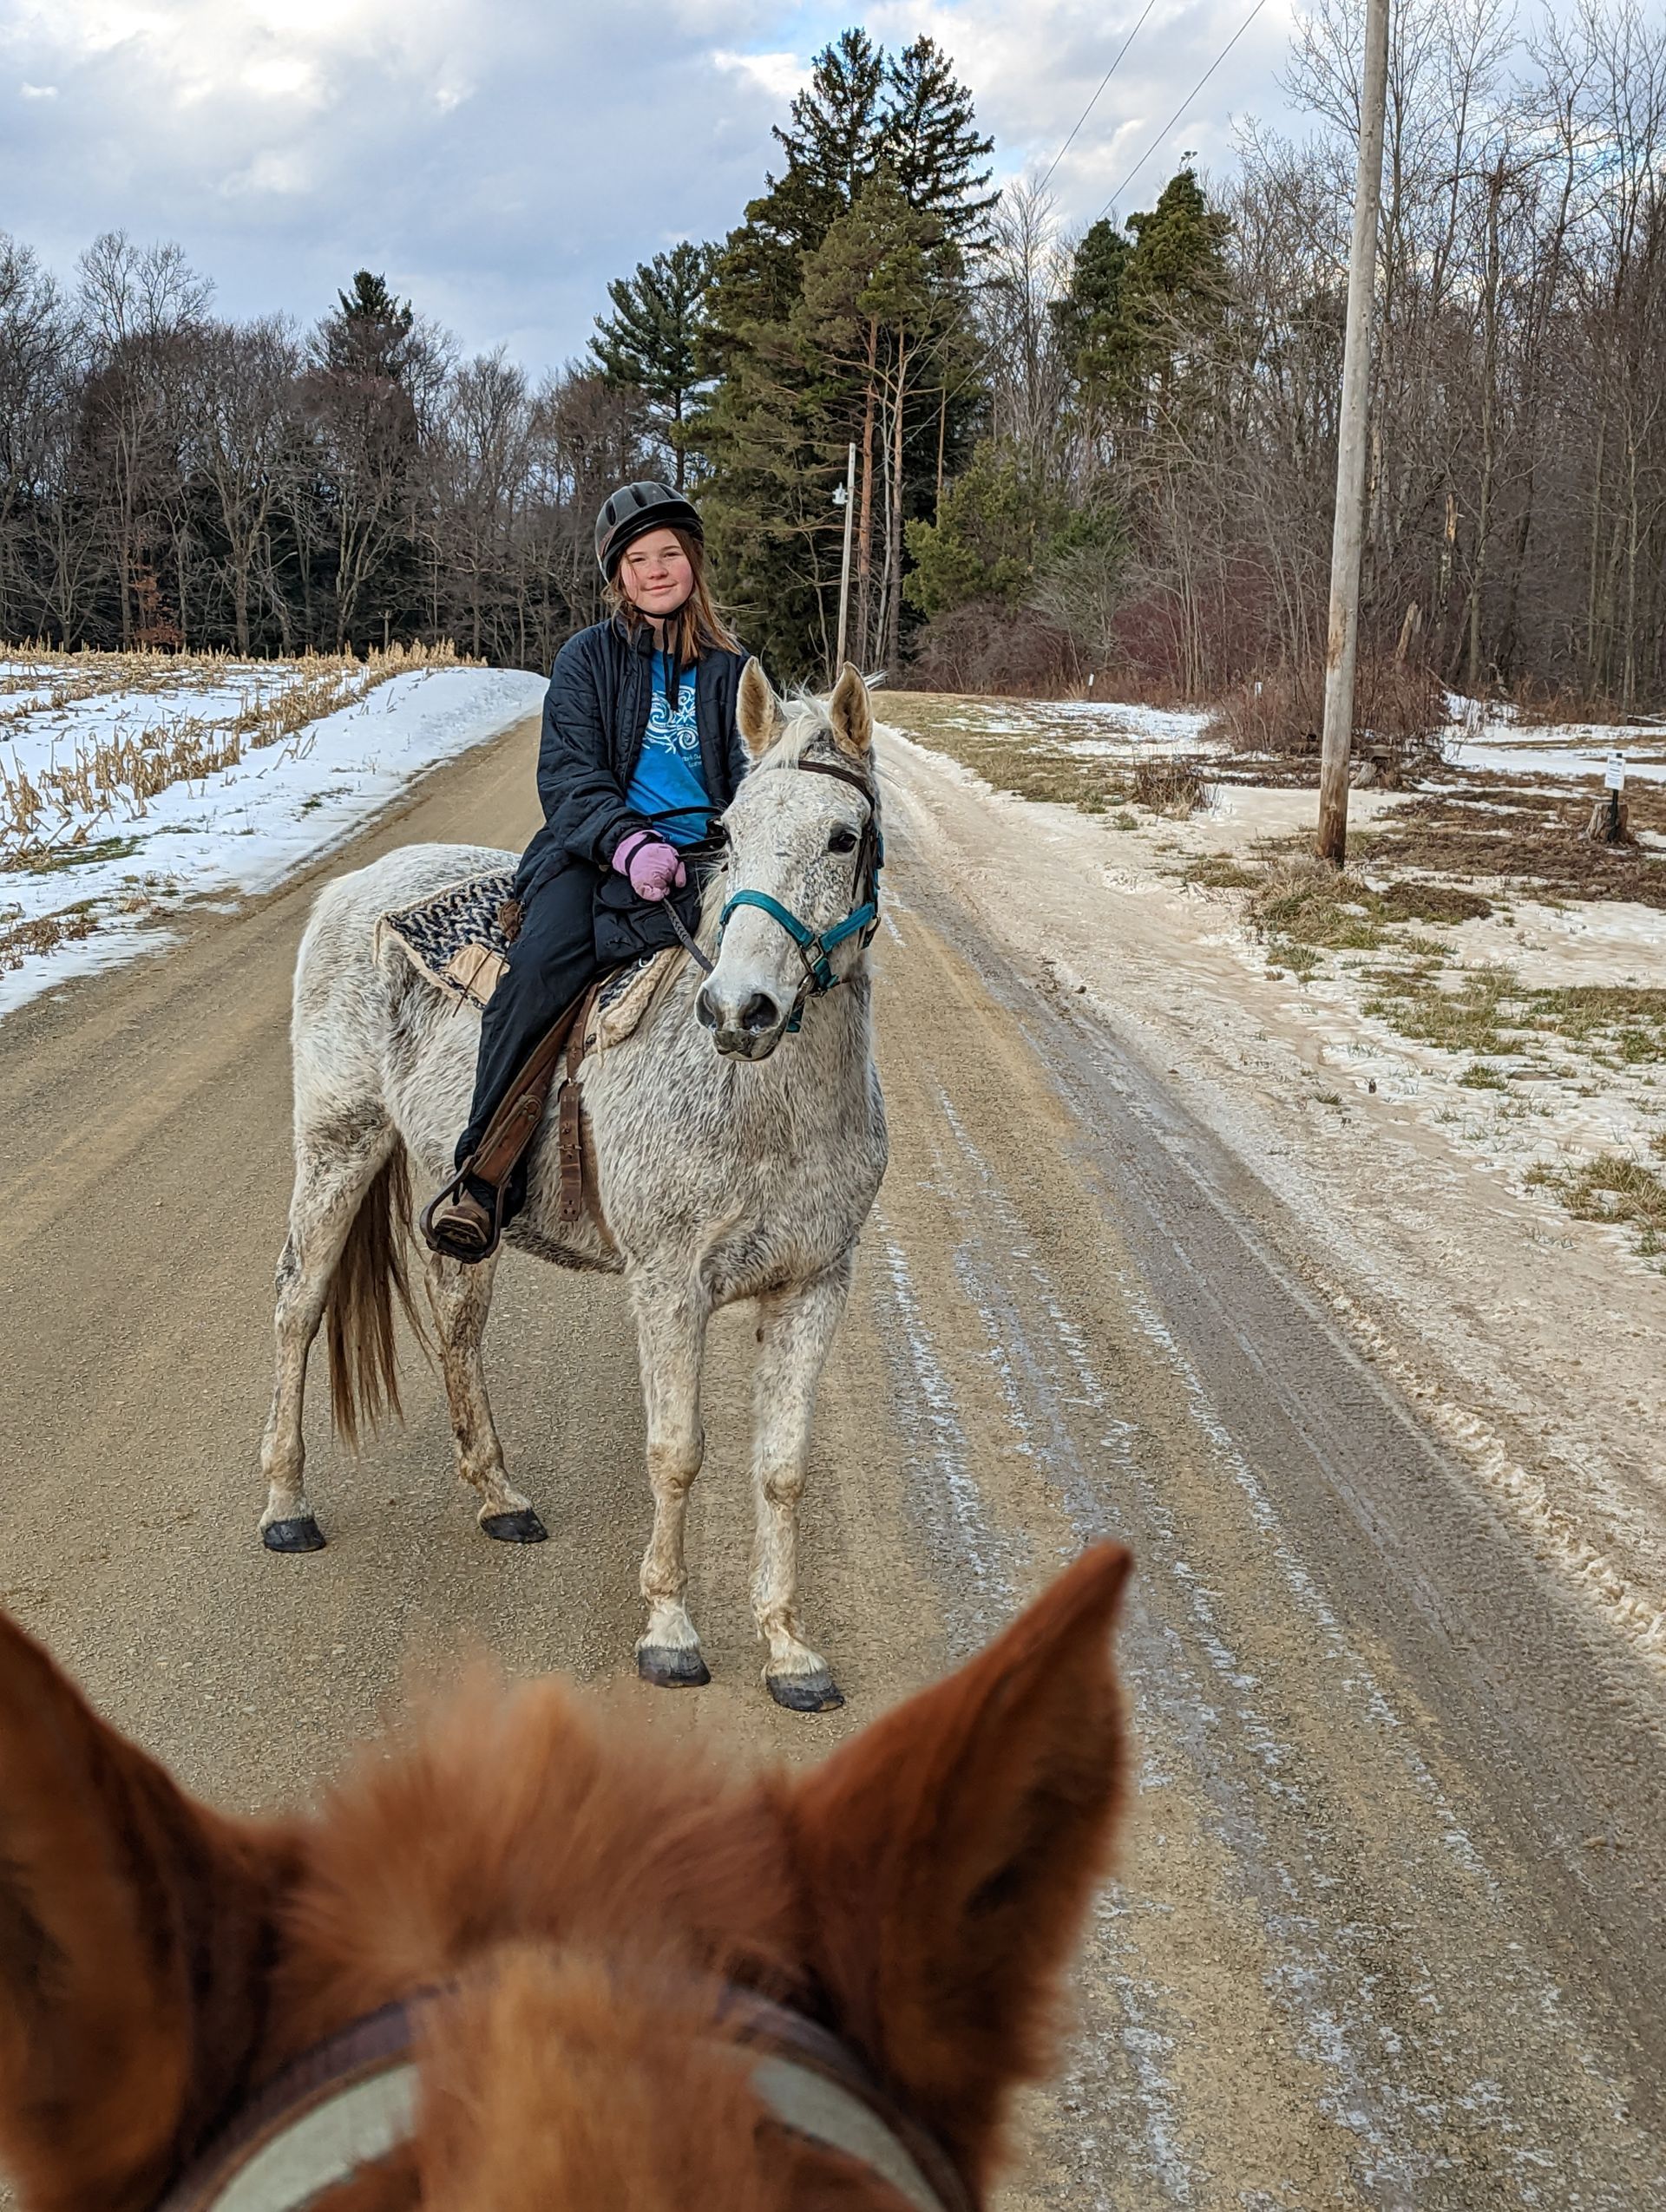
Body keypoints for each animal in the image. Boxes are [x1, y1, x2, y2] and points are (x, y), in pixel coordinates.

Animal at [257, 662, 888, 1709]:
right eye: (732, 832)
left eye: (844, 837)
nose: (741, 1010)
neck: (764, 1106)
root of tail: (353, 887)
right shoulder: (670, 1286)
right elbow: (677, 1454)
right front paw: (670, 1632)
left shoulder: (812, 1287)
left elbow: (782, 1470)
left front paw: (790, 1649)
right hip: (338, 1145)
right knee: (299, 1308)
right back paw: (285, 1506)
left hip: (458, 1199)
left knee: (457, 1324)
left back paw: (500, 1498)